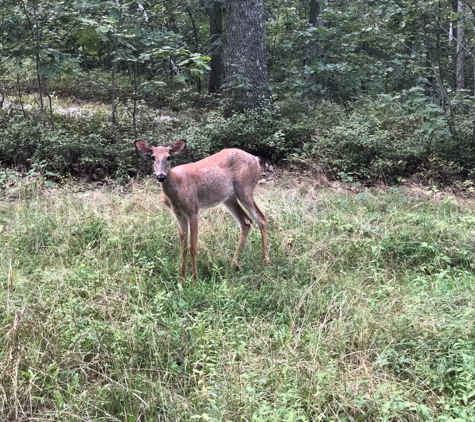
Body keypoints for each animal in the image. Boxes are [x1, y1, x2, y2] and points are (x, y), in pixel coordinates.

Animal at [136, 140, 270, 286]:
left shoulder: (193, 211)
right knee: (246, 222)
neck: (177, 187)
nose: (161, 176)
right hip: (229, 197)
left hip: (245, 189)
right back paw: (233, 263)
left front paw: (194, 280)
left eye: (169, 157)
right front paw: (182, 280)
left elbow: (193, 247)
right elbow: (183, 247)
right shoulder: (179, 214)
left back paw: (265, 259)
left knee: (261, 218)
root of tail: (256, 159)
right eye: (152, 157)